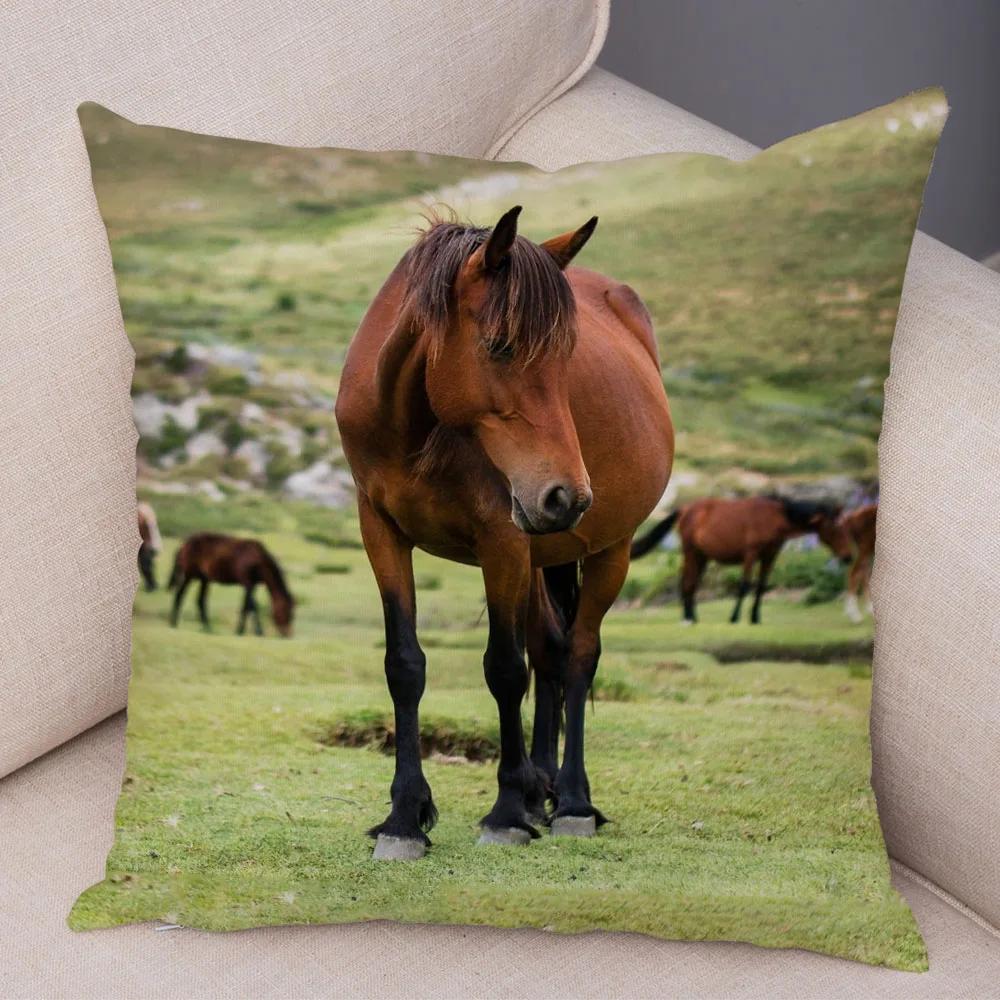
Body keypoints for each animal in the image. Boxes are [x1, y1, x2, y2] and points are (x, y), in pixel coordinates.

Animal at [335, 206, 673, 859]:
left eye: (569, 359)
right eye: (500, 345)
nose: (568, 497)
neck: (416, 424)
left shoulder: (503, 544)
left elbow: (504, 669)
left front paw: (508, 812)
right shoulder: (381, 532)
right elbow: (405, 666)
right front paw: (404, 818)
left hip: (607, 550)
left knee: (578, 656)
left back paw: (571, 801)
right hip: (543, 556)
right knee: (551, 649)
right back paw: (544, 788)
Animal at [630, 495, 853, 625]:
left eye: (844, 526)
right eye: (834, 527)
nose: (848, 557)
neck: (774, 518)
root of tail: (685, 509)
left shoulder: (770, 556)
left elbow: (761, 586)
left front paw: (755, 618)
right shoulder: (751, 554)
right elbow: (745, 585)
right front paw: (734, 617)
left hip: (702, 556)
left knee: (691, 583)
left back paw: (692, 616)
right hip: (691, 552)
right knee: (687, 582)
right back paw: (688, 618)